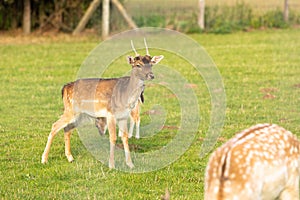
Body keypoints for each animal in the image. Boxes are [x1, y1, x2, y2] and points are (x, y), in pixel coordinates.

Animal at [41, 39, 163, 168]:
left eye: (151, 64)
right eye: (138, 64)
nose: (151, 75)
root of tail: (64, 88)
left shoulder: (123, 116)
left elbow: (124, 137)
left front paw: (130, 164)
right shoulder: (110, 113)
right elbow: (113, 138)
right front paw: (112, 165)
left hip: (79, 115)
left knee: (67, 128)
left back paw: (70, 158)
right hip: (70, 110)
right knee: (55, 126)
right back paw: (44, 159)